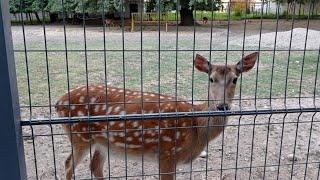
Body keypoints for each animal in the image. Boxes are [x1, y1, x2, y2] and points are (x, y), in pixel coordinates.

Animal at [56, 51, 258, 179]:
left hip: (102, 142)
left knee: (95, 167)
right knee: (68, 164)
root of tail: (58, 103)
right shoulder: (167, 153)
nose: (222, 105)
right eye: (211, 79)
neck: (196, 126)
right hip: (80, 136)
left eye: (235, 79)